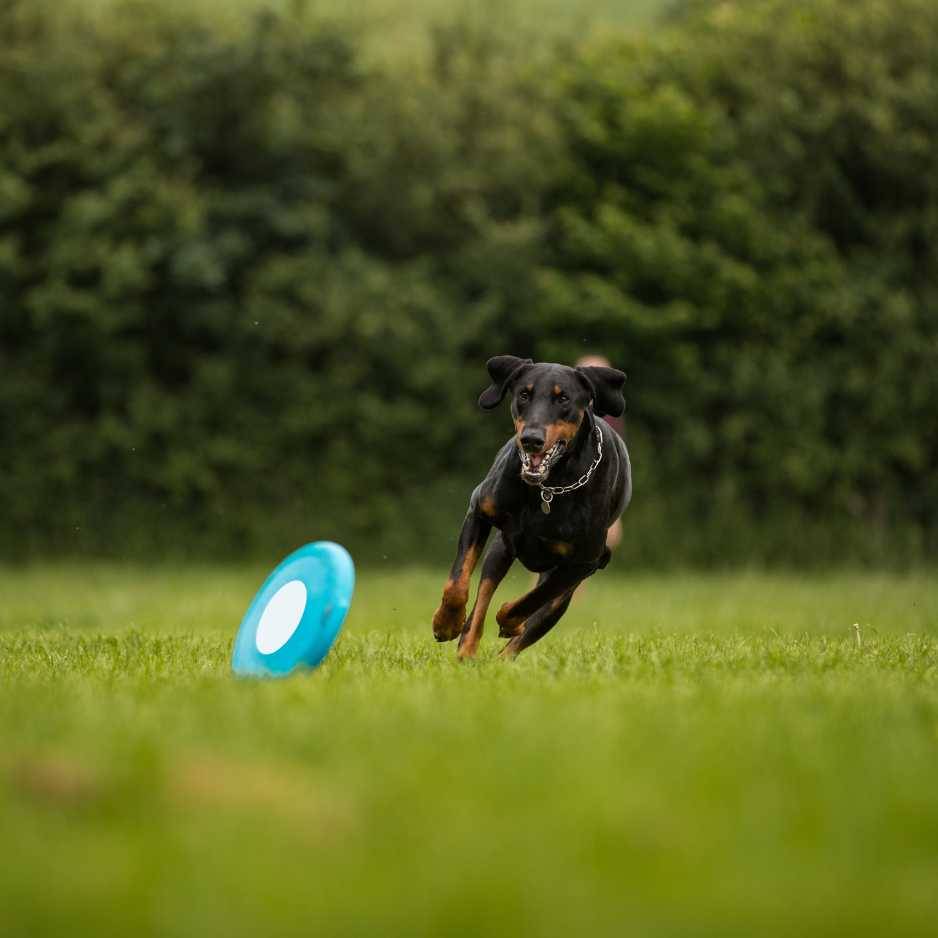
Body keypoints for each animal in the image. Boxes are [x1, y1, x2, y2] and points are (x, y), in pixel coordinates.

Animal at [432, 352, 628, 660]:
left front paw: (509, 620)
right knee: (482, 600)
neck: (548, 488)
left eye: (563, 398)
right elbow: (457, 583)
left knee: (525, 631)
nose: (531, 439)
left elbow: (533, 599)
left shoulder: (587, 560)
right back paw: (466, 650)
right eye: (524, 394)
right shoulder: (479, 510)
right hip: (500, 551)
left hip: (562, 593)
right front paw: (446, 623)